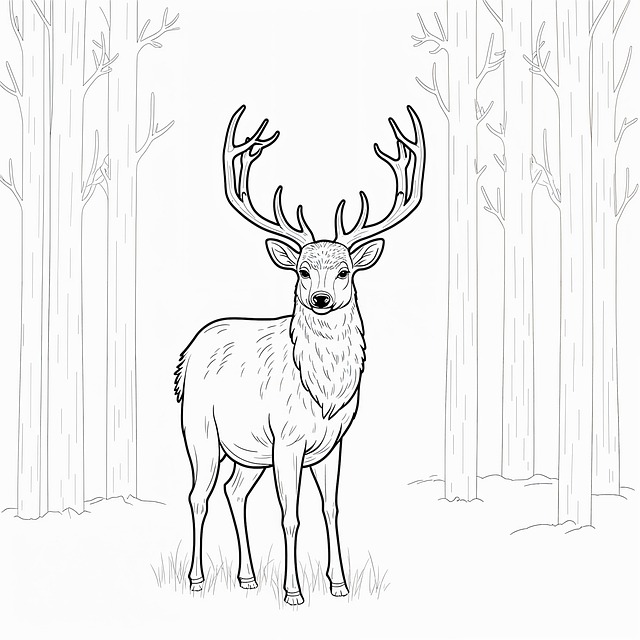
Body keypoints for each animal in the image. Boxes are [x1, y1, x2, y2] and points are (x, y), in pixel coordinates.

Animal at [174, 104, 425, 605]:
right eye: (303, 270)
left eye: (345, 270)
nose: (321, 299)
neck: (322, 395)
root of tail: (185, 358)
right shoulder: (286, 440)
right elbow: (290, 513)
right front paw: (293, 592)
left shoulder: (332, 443)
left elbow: (331, 508)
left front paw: (339, 584)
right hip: (200, 428)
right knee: (198, 495)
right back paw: (196, 579)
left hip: (247, 451)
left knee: (235, 492)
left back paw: (247, 577)